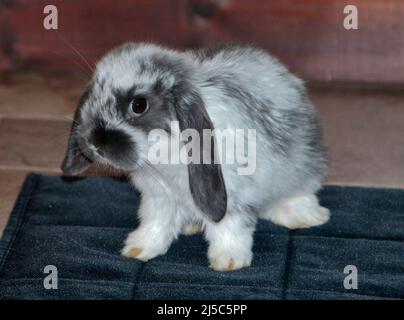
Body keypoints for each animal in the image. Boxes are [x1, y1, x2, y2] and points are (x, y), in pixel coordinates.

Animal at [61, 42, 330, 272]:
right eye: (93, 97)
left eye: (138, 105)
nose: (95, 143)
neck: (162, 157)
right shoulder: (158, 198)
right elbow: (155, 223)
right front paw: (139, 249)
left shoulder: (232, 194)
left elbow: (229, 226)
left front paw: (229, 261)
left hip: (300, 168)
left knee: (301, 193)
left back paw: (306, 217)